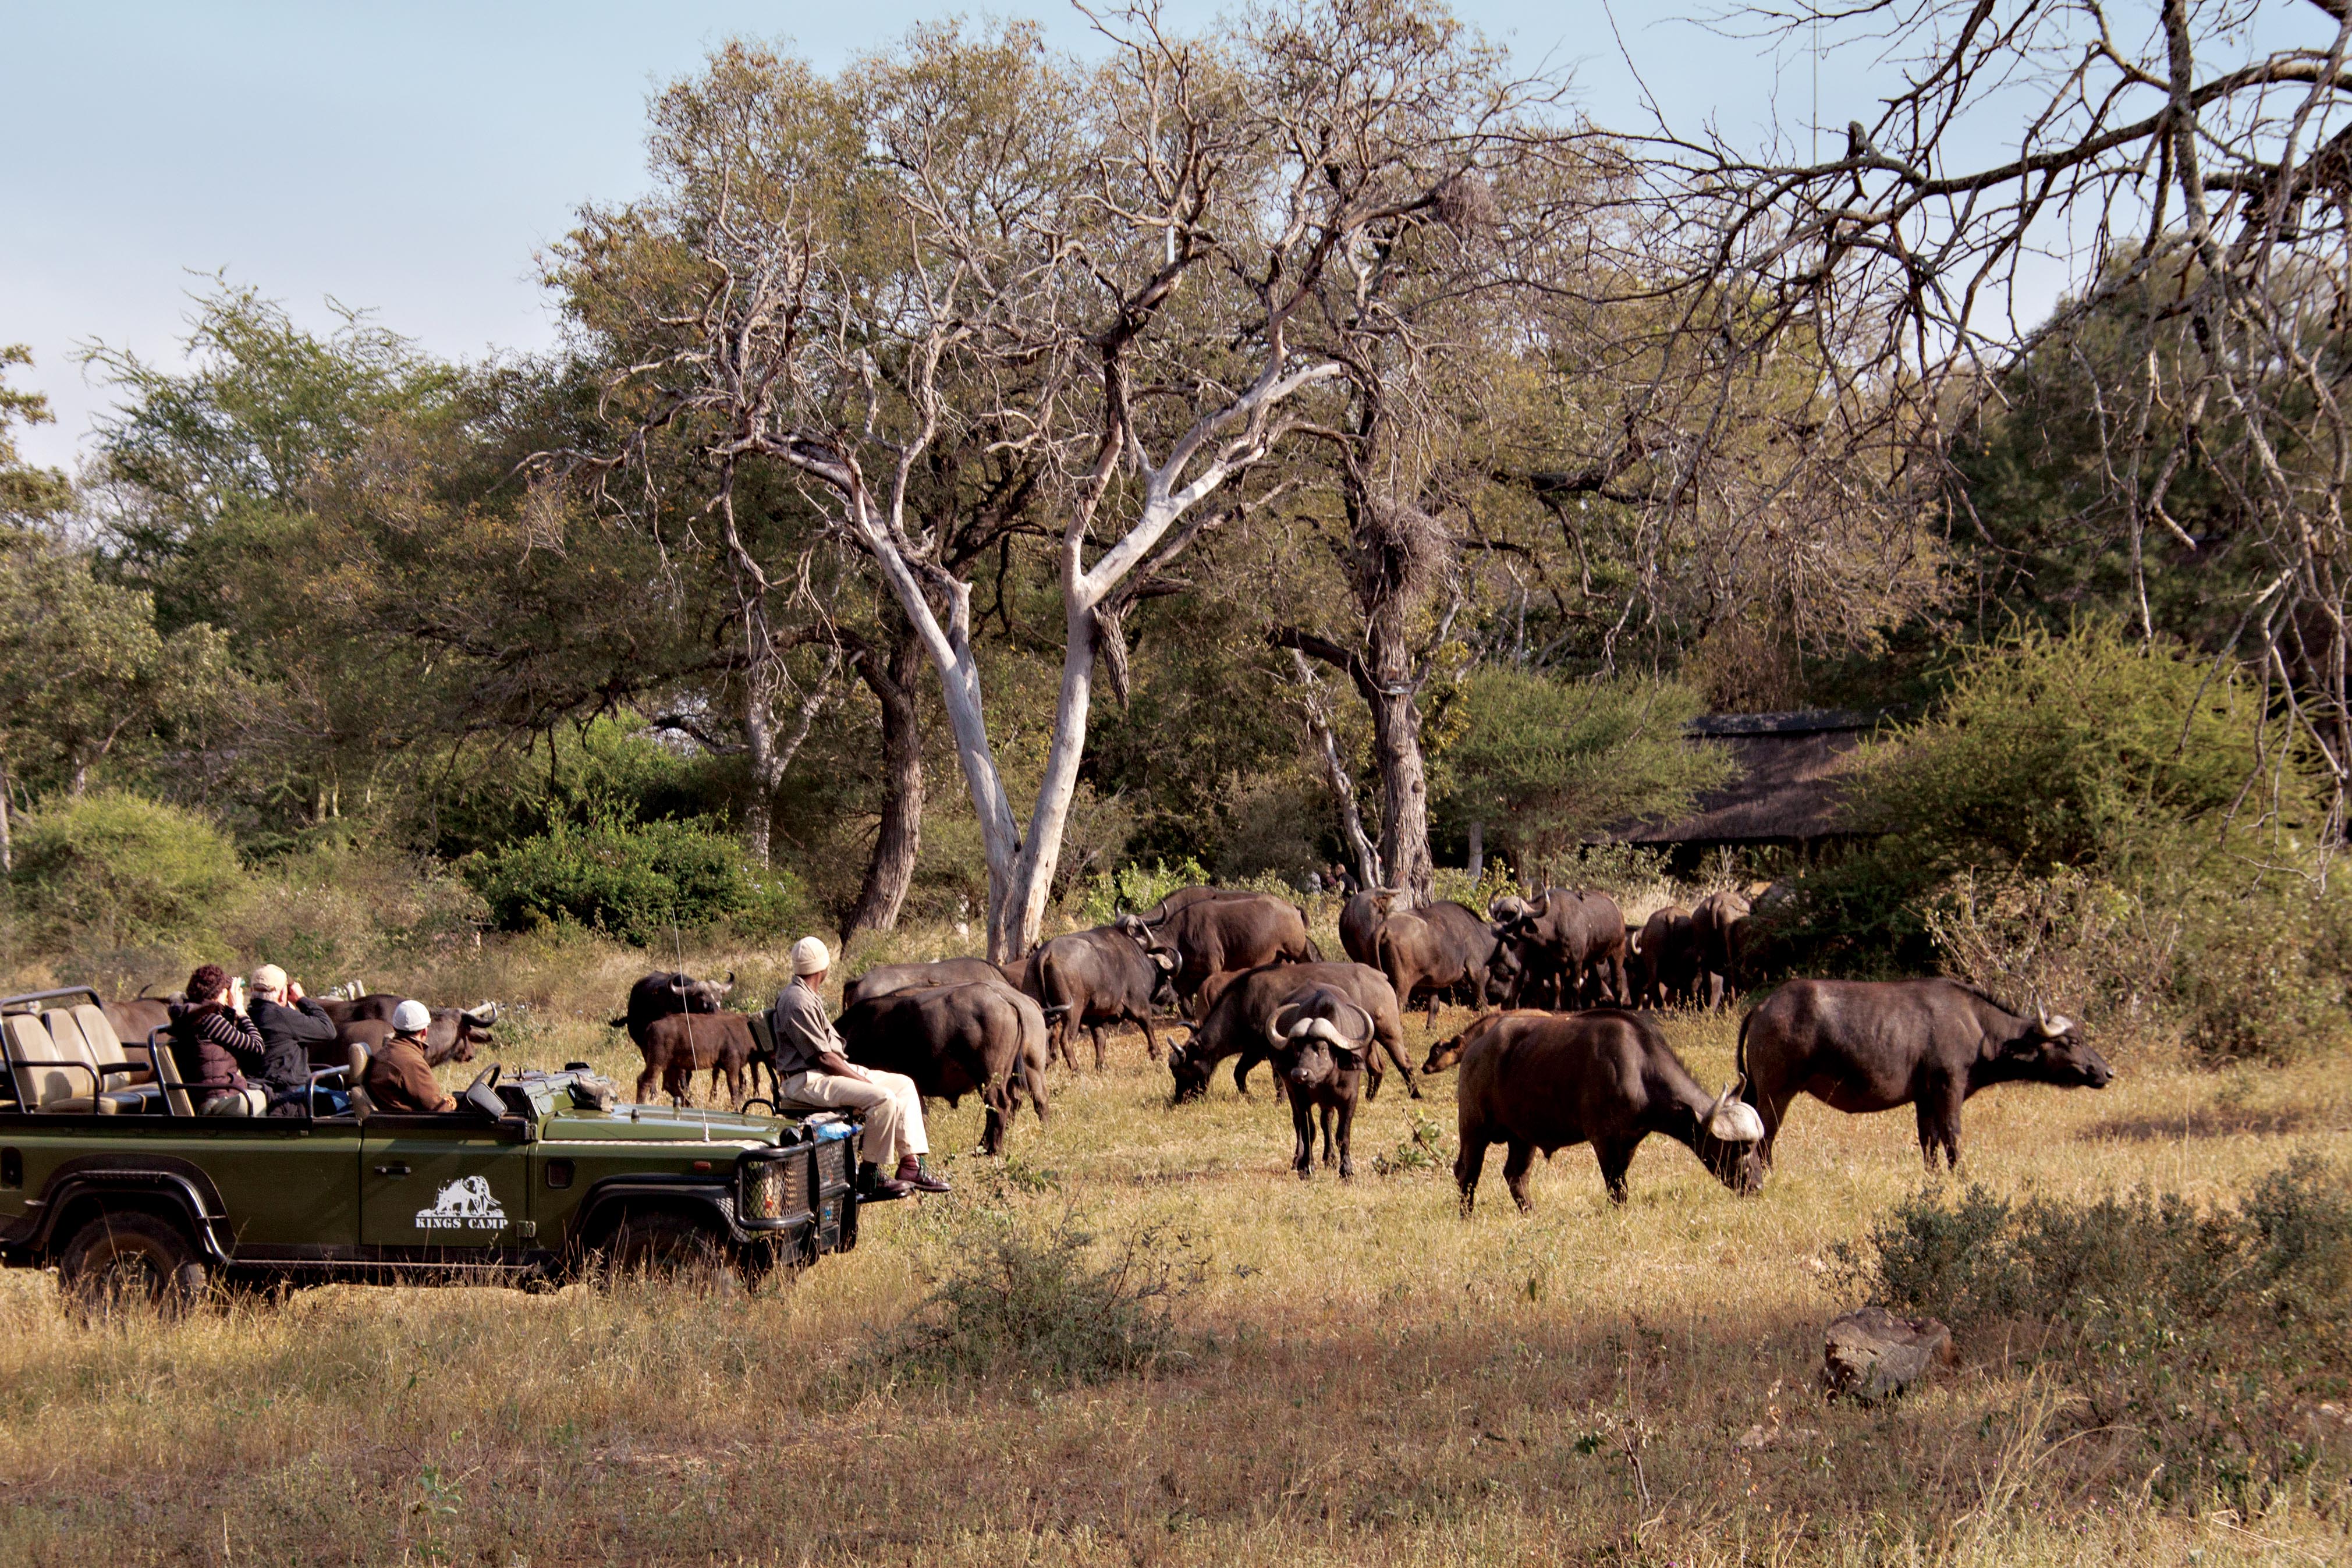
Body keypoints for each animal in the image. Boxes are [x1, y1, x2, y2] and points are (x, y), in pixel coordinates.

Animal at [837, 981, 1051, 1156]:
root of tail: (1004, 997)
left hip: (989, 1076)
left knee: (1000, 1106)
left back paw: (991, 1149)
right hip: (1024, 1071)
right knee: (1030, 1100)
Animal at [1166, 960, 1417, 1102]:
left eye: (1181, 1070)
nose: (1179, 1099)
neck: (1243, 1002)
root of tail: (1380, 976)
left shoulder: (1267, 1050)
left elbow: (1273, 1078)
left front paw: (1280, 1100)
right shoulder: (1254, 1050)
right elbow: (1239, 1073)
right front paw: (1248, 1096)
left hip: (1389, 1033)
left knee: (1404, 1062)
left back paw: (1415, 1094)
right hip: (1367, 1041)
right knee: (1378, 1068)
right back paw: (1369, 1097)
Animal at [1424, 1008, 1764, 1213]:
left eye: (1756, 1147)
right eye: (1738, 1150)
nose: (1756, 1186)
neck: (1638, 1068)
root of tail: (1474, 1048)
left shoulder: (1628, 1142)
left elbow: (1621, 1185)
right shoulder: (1604, 1140)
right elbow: (1616, 1189)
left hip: (1523, 1137)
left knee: (1515, 1176)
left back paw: (1531, 1213)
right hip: (1474, 1127)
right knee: (1466, 1172)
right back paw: (1467, 1216)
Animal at [1736, 978, 2114, 1173]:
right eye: (2073, 1041)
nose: (2106, 1071)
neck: (1978, 1029)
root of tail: (1763, 1006)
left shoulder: (1925, 1098)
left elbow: (1929, 1141)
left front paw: (1933, 1177)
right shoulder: (1949, 1089)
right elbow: (1952, 1136)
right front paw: (1960, 1175)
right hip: (1775, 1093)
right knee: (1765, 1136)